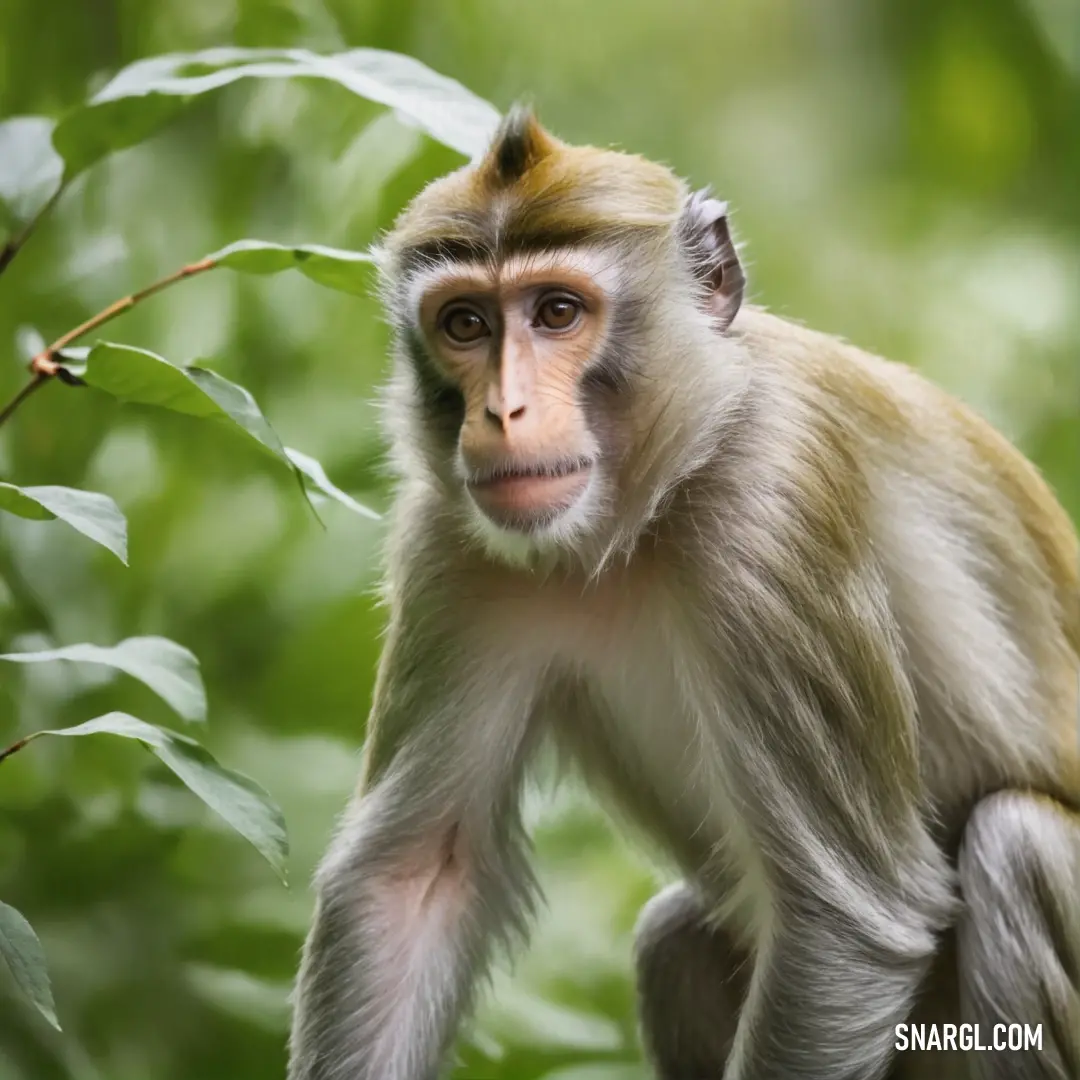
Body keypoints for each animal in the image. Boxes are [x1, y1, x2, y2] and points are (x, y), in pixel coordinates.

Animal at [285, 107, 1080, 1080]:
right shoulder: (452, 546)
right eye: (464, 323)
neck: (642, 515)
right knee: (673, 941)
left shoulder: (770, 509)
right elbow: (412, 877)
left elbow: (844, 923)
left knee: (1018, 842)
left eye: (557, 312)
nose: (502, 413)